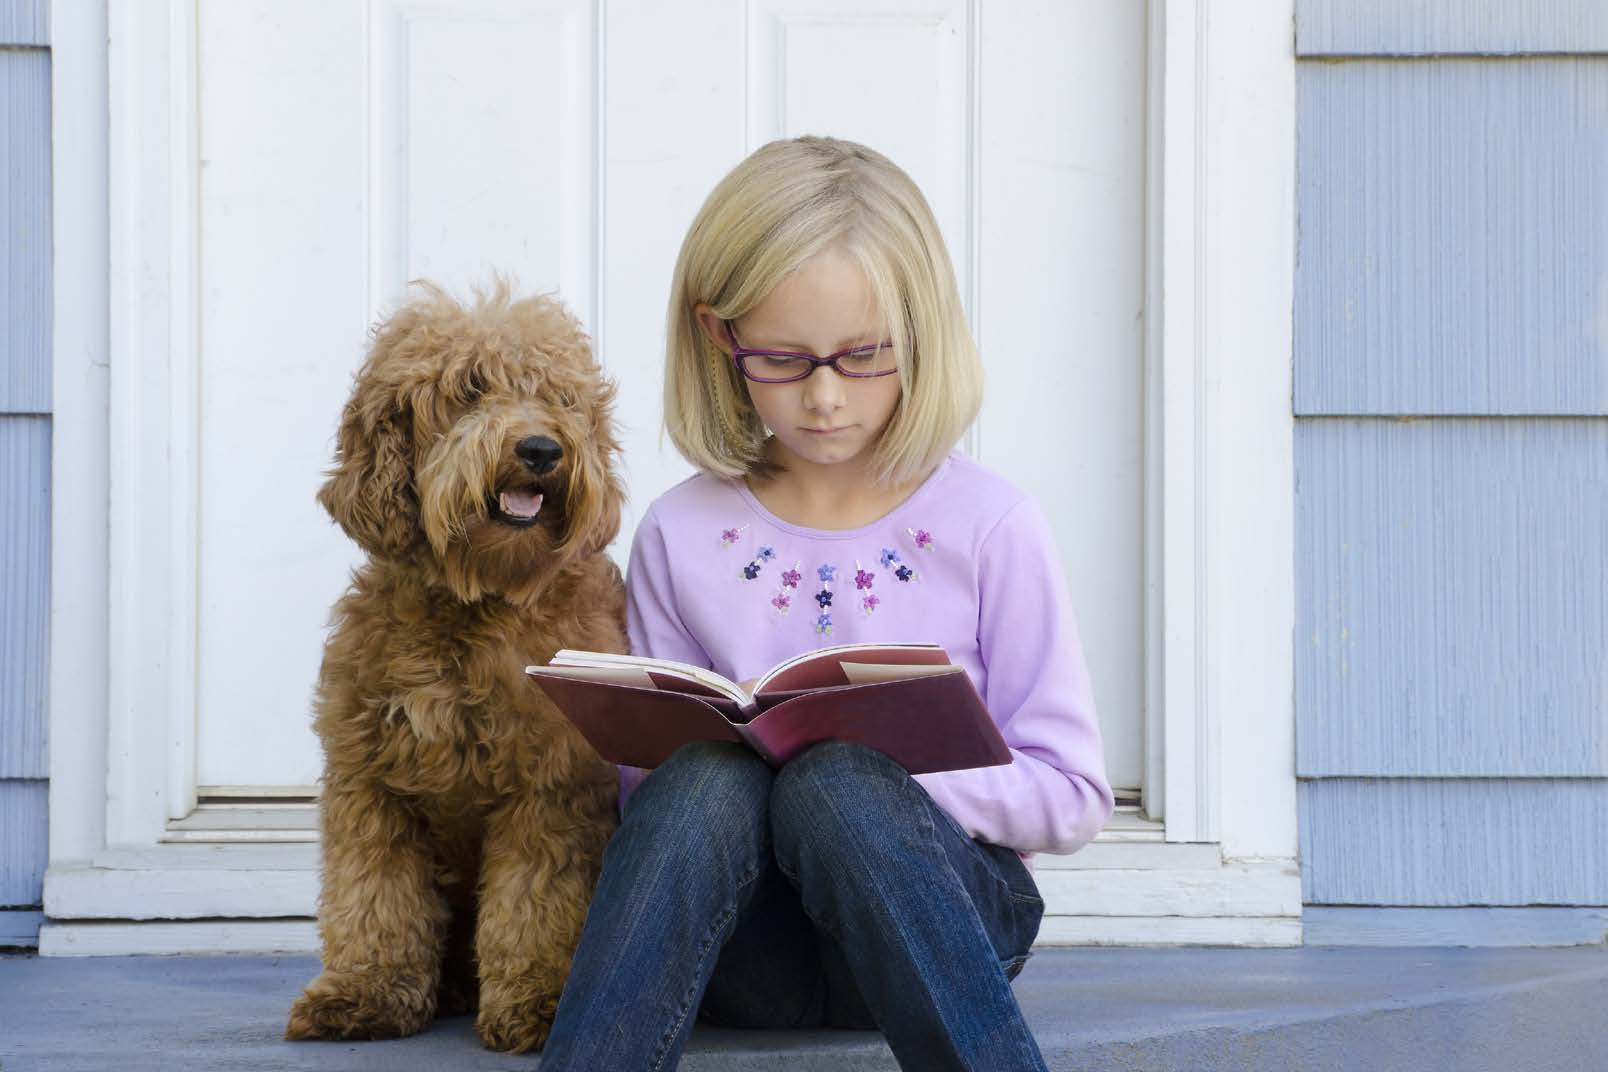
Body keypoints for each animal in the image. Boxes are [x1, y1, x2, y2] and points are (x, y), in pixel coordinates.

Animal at [286, 281, 623, 1054]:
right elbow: (373, 895)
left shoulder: (552, 786)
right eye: (470, 390)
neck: (474, 602)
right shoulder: (369, 784)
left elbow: (535, 904)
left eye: (556, 396)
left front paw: (536, 1001)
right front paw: (365, 992)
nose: (540, 448)